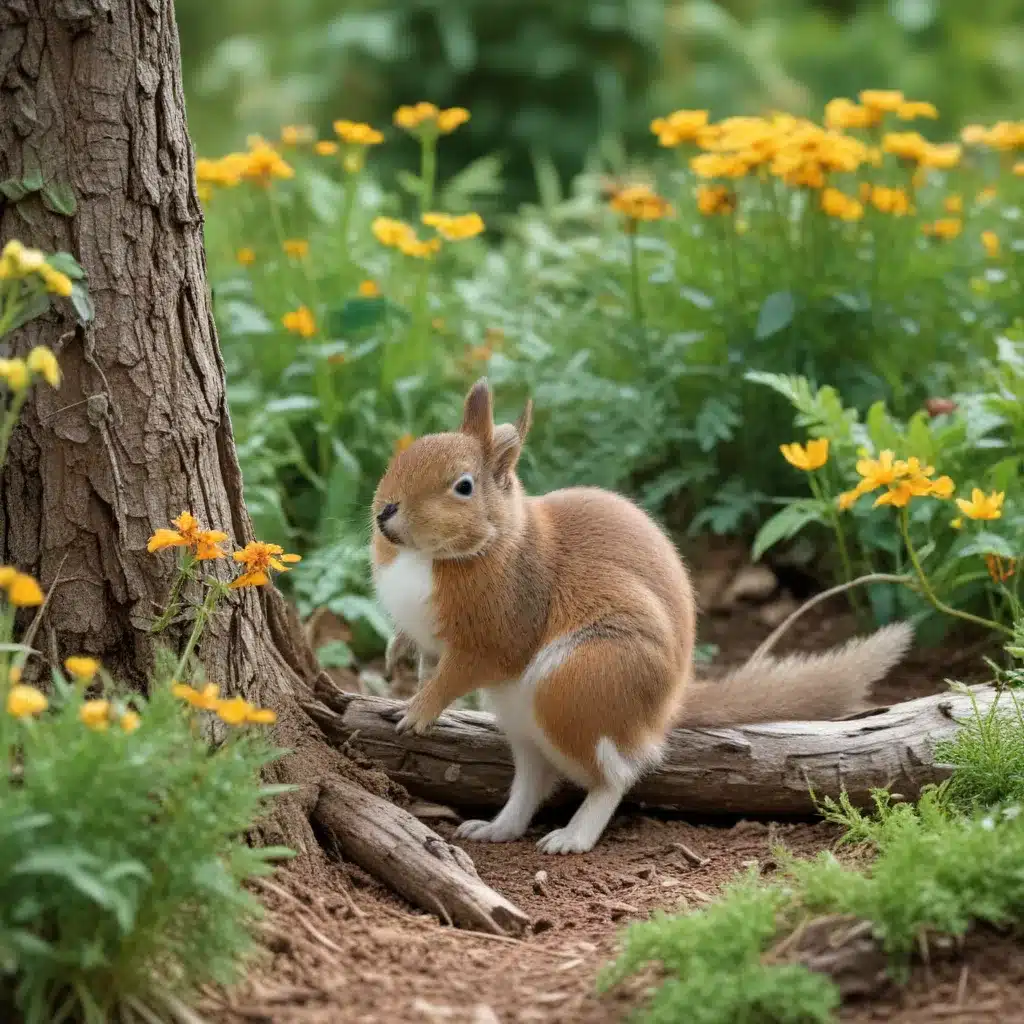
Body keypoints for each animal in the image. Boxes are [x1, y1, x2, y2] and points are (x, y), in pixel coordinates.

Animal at [372, 380, 917, 851]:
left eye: (463, 486)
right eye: (407, 452)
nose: (385, 512)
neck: (434, 557)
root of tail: (662, 711)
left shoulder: (499, 627)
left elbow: (459, 670)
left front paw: (419, 708)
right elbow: (420, 648)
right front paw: (397, 656)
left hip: (574, 686)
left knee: (615, 776)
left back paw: (575, 835)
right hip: (522, 721)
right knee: (535, 781)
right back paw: (498, 827)